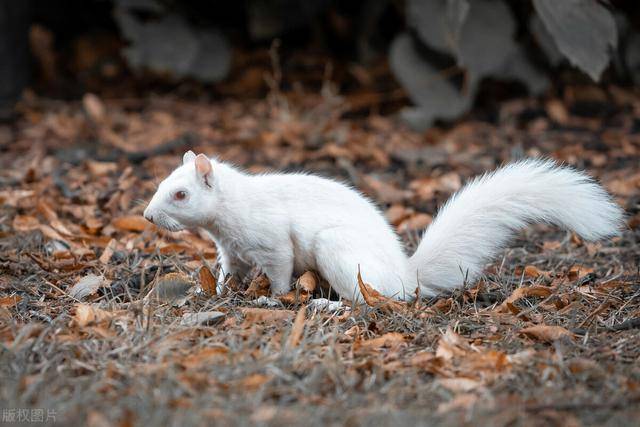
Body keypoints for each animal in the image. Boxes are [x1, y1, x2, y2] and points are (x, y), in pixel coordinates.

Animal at [145, 152, 624, 302]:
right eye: (163, 183)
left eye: (181, 194)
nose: (149, 216)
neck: (231, 211)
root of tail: (405, 278)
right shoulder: (231, 251)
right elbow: (229, 273)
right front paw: (215, 292)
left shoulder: (273, 241)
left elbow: (279, 271)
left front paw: (273, 299)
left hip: (338, 251)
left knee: (369, 303)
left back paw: (327, 307)